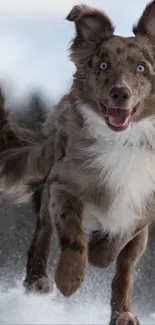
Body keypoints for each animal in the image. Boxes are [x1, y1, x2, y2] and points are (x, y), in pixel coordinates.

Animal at [0, 1, 155, 322]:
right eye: (103, 65)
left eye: (142, 68)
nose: (120, 93)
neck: (125, 140)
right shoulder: (63, 186)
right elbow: (72, 237)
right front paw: (69, 280)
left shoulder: (144, 207)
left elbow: (117, 244)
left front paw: (100, 249)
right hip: (48, 188)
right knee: (42, 235)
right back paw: (39, 281)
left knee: (125, 272)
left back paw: (123, 314)